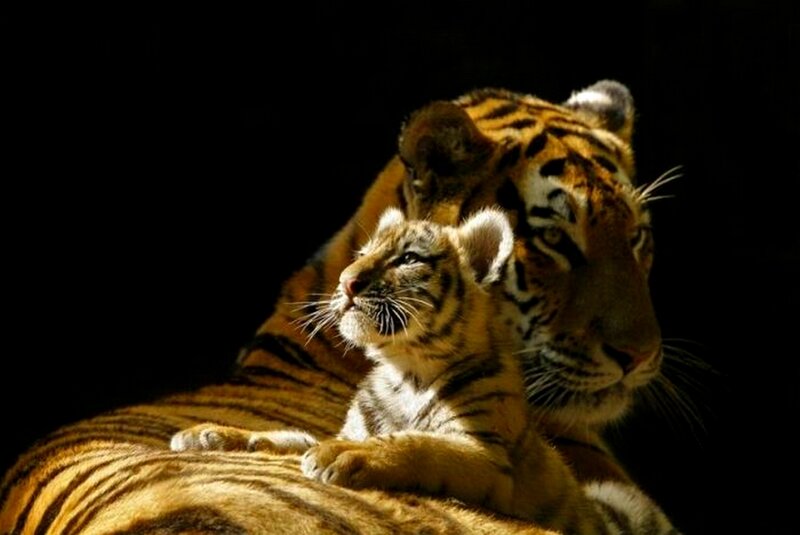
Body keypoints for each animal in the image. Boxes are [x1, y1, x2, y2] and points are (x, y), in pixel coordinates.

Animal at [0, 80, 680, 534]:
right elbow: (303, 437)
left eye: (637, 237)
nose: (640, 355)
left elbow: (402, 445)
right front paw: (223, 436)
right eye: (556, 241)